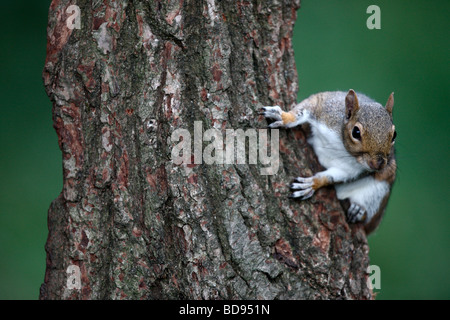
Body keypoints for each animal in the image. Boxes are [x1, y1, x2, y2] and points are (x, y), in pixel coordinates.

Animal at [260, 90, 398, 235]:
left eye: (394, 134)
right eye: (356, 132)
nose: (378, 164)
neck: (343, 147)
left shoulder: (353, 170)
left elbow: (332, 177)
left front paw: (313, 184)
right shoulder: (325, 108)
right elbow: (305, 108)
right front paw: (285, 117)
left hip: (381, 188)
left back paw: (359, 210)